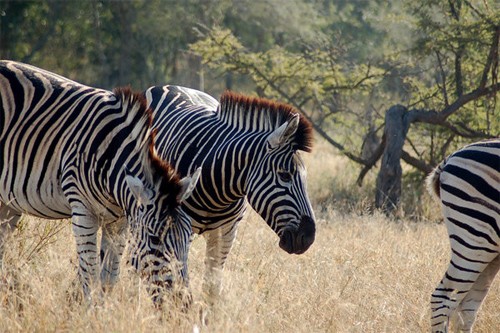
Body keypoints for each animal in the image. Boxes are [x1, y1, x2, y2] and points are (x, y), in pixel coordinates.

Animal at [0, 60, 199, 304]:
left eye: (188, 238)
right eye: (155, 239)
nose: (183, 304)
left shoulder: (120, 222)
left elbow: (109, 277)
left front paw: (106, 308)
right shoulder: (83, 212)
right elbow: (90, 273)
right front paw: (91, 308)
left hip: (7, 203)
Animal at [144, 84, 316, 300]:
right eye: (284, 176)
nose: (308, 237)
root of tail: (170, 86)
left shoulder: (226, 232)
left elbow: (212, 287)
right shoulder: (179, 227)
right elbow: (173, 271)